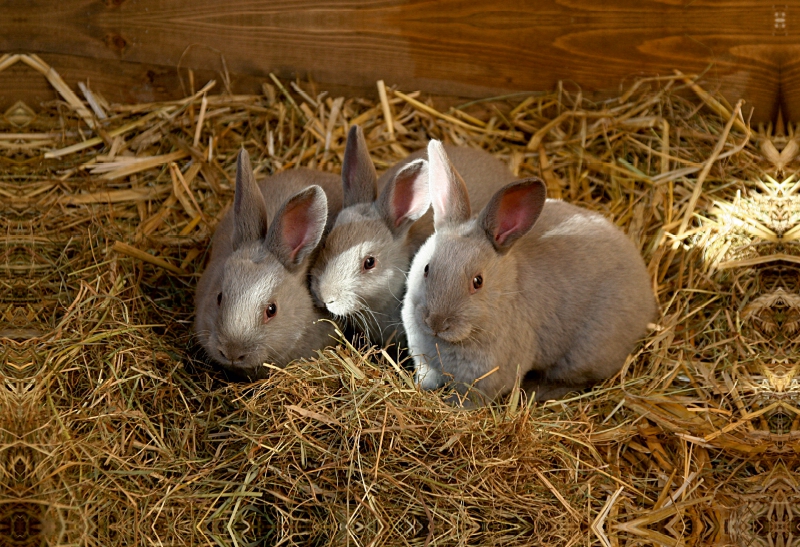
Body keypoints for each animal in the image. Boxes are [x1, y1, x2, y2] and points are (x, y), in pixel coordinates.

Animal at [400, 140, 656, 406]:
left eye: (478, 282)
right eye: (427, 268)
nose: (436, 322)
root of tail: (647, 298)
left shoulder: (483, 382)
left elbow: (467, 400)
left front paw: (451, 407)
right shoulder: (425, 364)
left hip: (584, 356)